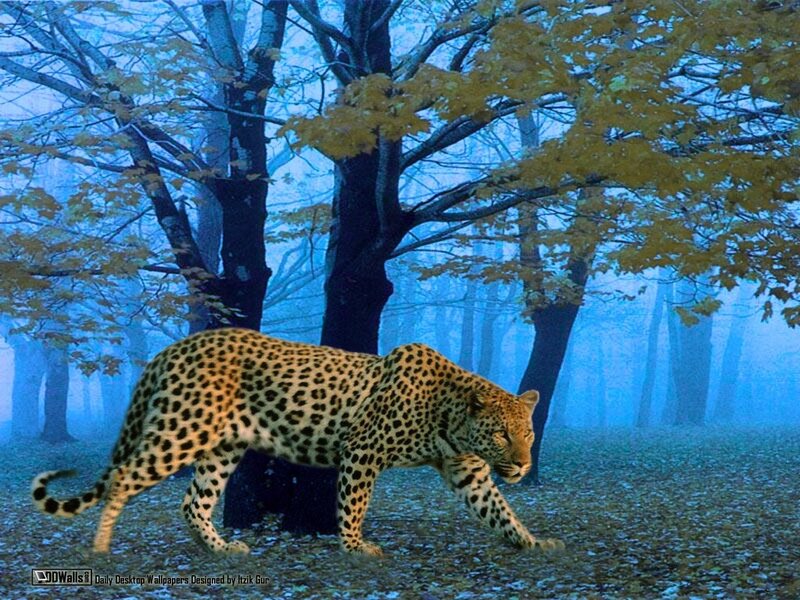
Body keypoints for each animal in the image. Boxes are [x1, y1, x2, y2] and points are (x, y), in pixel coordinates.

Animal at [31, 328, 563, 556]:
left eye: (528, 433)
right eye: (501, 433)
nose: (521, 465)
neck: (449, 415)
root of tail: (176, 346)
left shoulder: (468, 470)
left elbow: (499, 510)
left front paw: (533, 541)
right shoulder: (362, 450)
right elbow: (353, 504)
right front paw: (355, 548)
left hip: (221, 448)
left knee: (192, 501)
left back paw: (219, 549)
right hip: (181, 431)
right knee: (123, 476)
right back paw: (101, 546)